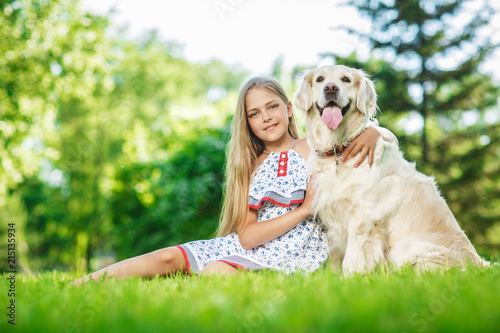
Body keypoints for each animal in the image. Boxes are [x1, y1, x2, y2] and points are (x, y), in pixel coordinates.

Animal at [294, 65, 490, 274]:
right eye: (320, 79)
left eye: (346, 79)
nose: (331, 88)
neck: (339, 151)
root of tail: (480, 265)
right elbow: (334, 259)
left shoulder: (364, 218)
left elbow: (352, 259)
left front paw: (348, 279)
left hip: (405, 249)